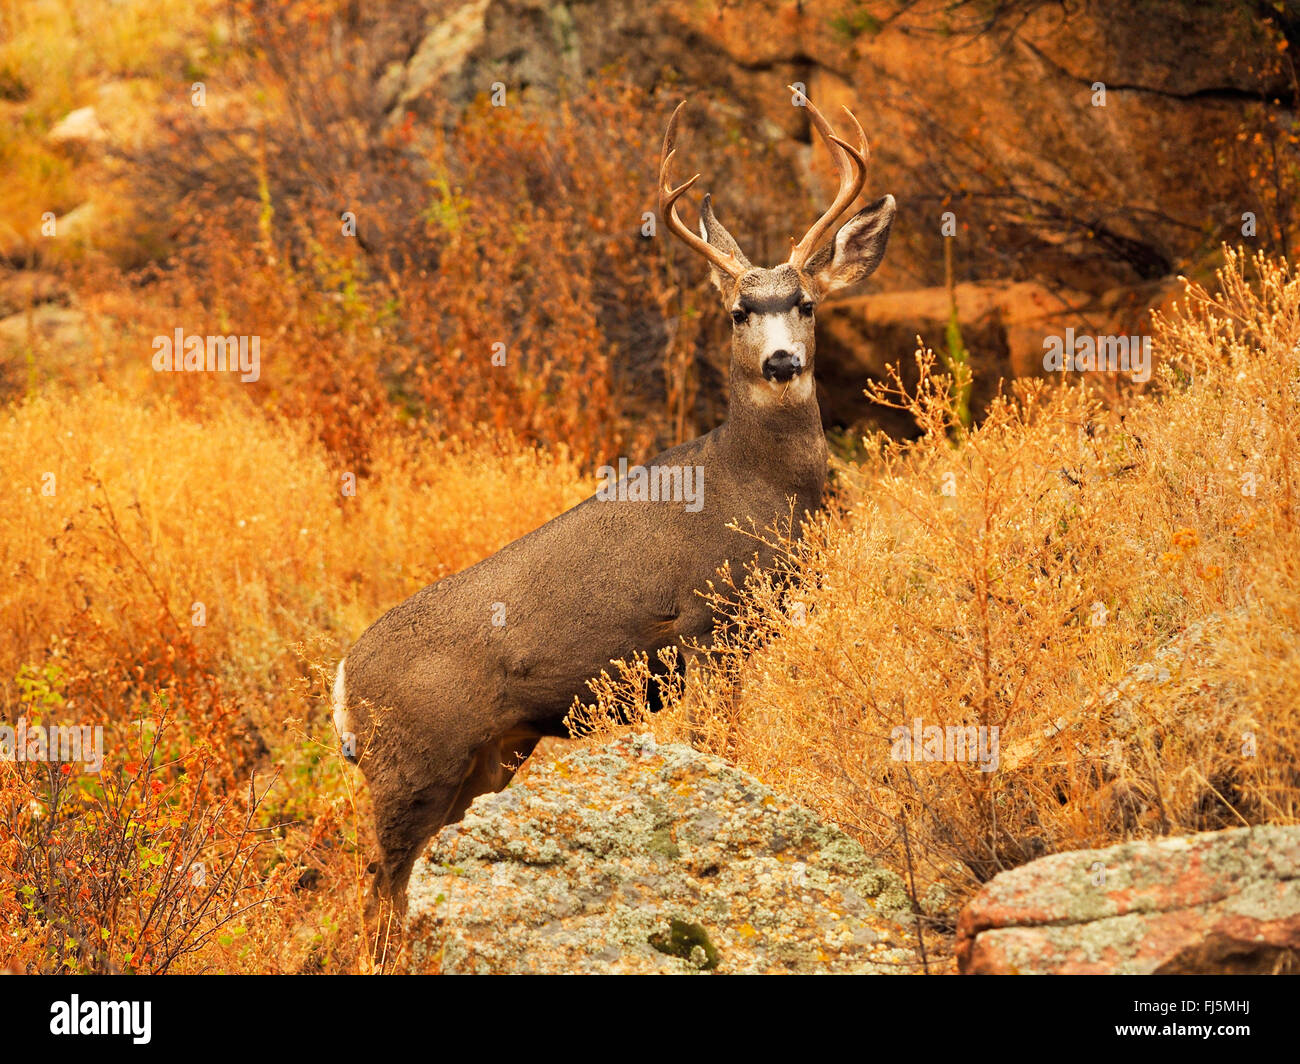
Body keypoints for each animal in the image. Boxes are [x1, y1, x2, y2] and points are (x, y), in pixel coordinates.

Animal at [332, 87, 894, 910]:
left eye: (809, 305)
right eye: (738, 312)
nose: (782, 362)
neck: (751, 485)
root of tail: (342, 682)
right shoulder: (702, 624)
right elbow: (721, 745)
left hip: (484, 760)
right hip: (411, 764)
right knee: (377, 882)